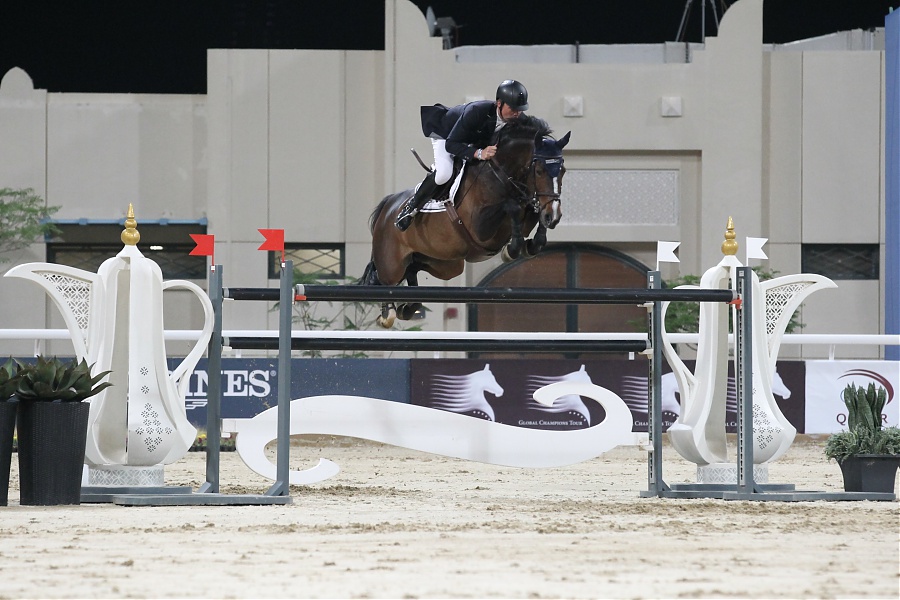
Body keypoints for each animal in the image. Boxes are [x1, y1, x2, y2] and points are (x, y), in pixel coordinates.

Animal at [362, 115, 570, 326]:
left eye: (563, 170)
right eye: (539, 171)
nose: (554, 215)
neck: (501, 174)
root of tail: (388, 205)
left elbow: (534, 215)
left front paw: (531, 243)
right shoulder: (480, 228)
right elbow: (511, 206)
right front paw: (511, 250)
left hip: (445, 264)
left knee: (412, 268)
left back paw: (409, 307)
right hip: (392, 264)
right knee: (384, 280)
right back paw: (388, 313)